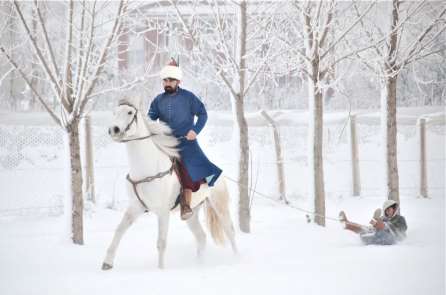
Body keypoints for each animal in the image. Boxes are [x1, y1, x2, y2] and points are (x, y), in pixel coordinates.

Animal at [103, 97, 239, 270]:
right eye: (114, 112)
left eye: (130, 112)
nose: (113, 129)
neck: (147, 169)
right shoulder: (135, 207)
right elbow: (119, 230)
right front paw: (107, 263)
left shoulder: (163, 212)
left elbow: (161, 243)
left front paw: (161, 269)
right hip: (192, 213)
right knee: (201, 237)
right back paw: (199, 263)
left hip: (219, 206)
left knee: (230, 231)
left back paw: (236, 259)